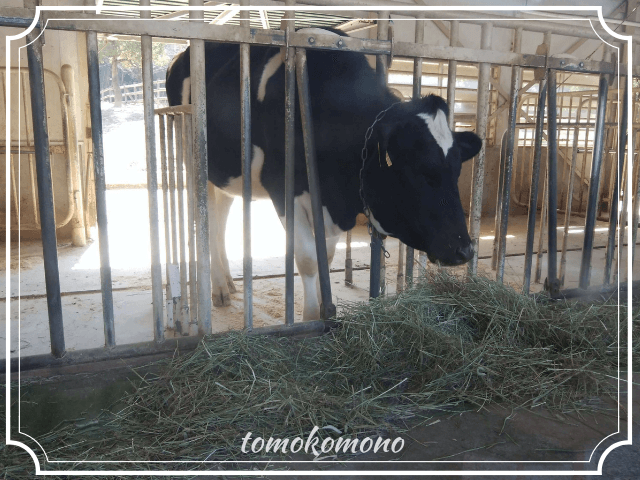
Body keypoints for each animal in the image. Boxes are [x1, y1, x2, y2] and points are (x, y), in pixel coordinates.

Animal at [165, 29, 480, 322]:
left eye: (457, 169)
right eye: (418, 169)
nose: (465, 249)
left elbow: (324, 257)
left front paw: (322, 311)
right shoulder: (283, 189)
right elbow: (306, 258)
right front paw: (309, 319)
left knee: (221, 218)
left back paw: (228, 282)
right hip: (194, 160)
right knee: (205, 219)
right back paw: (218, 288)